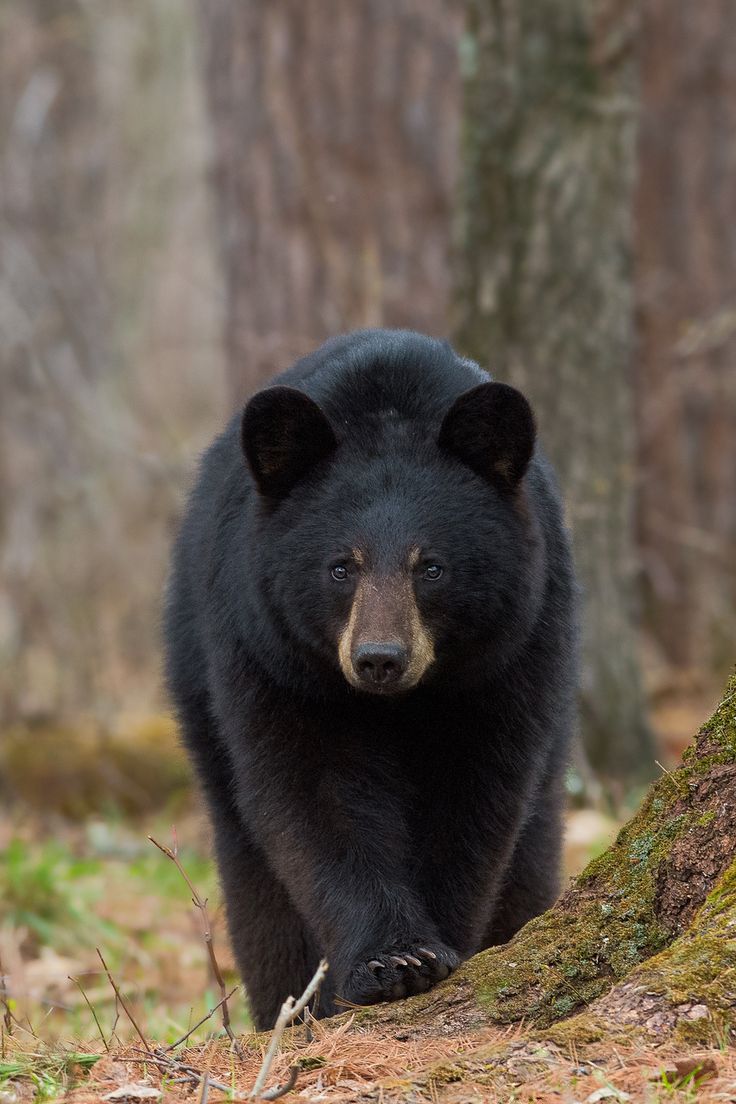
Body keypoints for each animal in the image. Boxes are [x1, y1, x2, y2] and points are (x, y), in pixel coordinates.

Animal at [164, 324, 578, 1024]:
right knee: (254, 882)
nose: (380, 658)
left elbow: (477, 796)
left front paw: (440, 947)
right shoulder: (272, 657)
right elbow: (312, 796)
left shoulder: (510, 656)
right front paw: (393, 960)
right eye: (341, 566)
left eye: (430, 567)